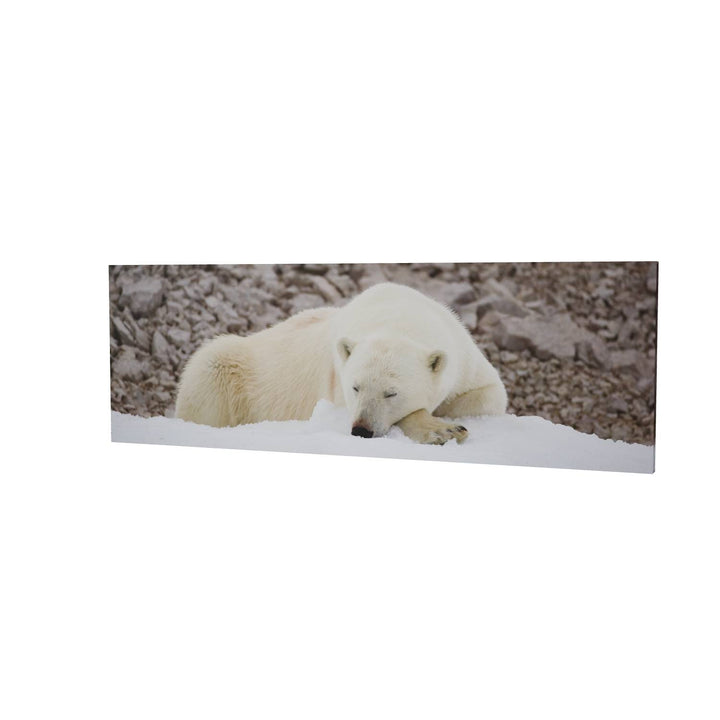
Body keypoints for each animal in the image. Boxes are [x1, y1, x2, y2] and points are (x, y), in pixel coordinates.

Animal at [175, 282, 507, 444]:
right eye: (355, 387)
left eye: (391, 393)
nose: (361, 430)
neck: (399, 317)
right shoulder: (335, 378)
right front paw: (443, 431)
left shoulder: (463, 354)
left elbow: (491, 395)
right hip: (232, 367)